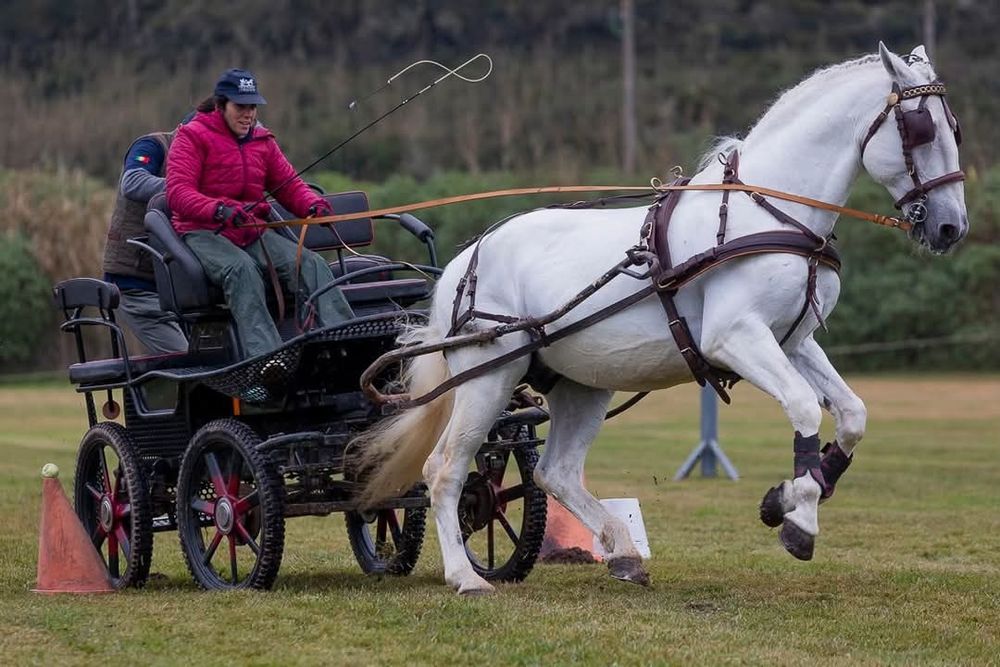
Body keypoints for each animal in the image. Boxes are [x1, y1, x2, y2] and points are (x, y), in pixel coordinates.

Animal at [354, 43, 969, 595]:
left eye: (954, 127)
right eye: (921, 129)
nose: (950, 228)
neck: (768, 214)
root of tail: (465, 261)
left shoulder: (793, 341)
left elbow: (852, 415)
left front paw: (786, 498)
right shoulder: (735, 337)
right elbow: (801, 408)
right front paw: (798, 518)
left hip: (580, 384)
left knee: (555, 471)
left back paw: (623, 552)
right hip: (489, 373)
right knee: (445, 469)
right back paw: (465, 577)